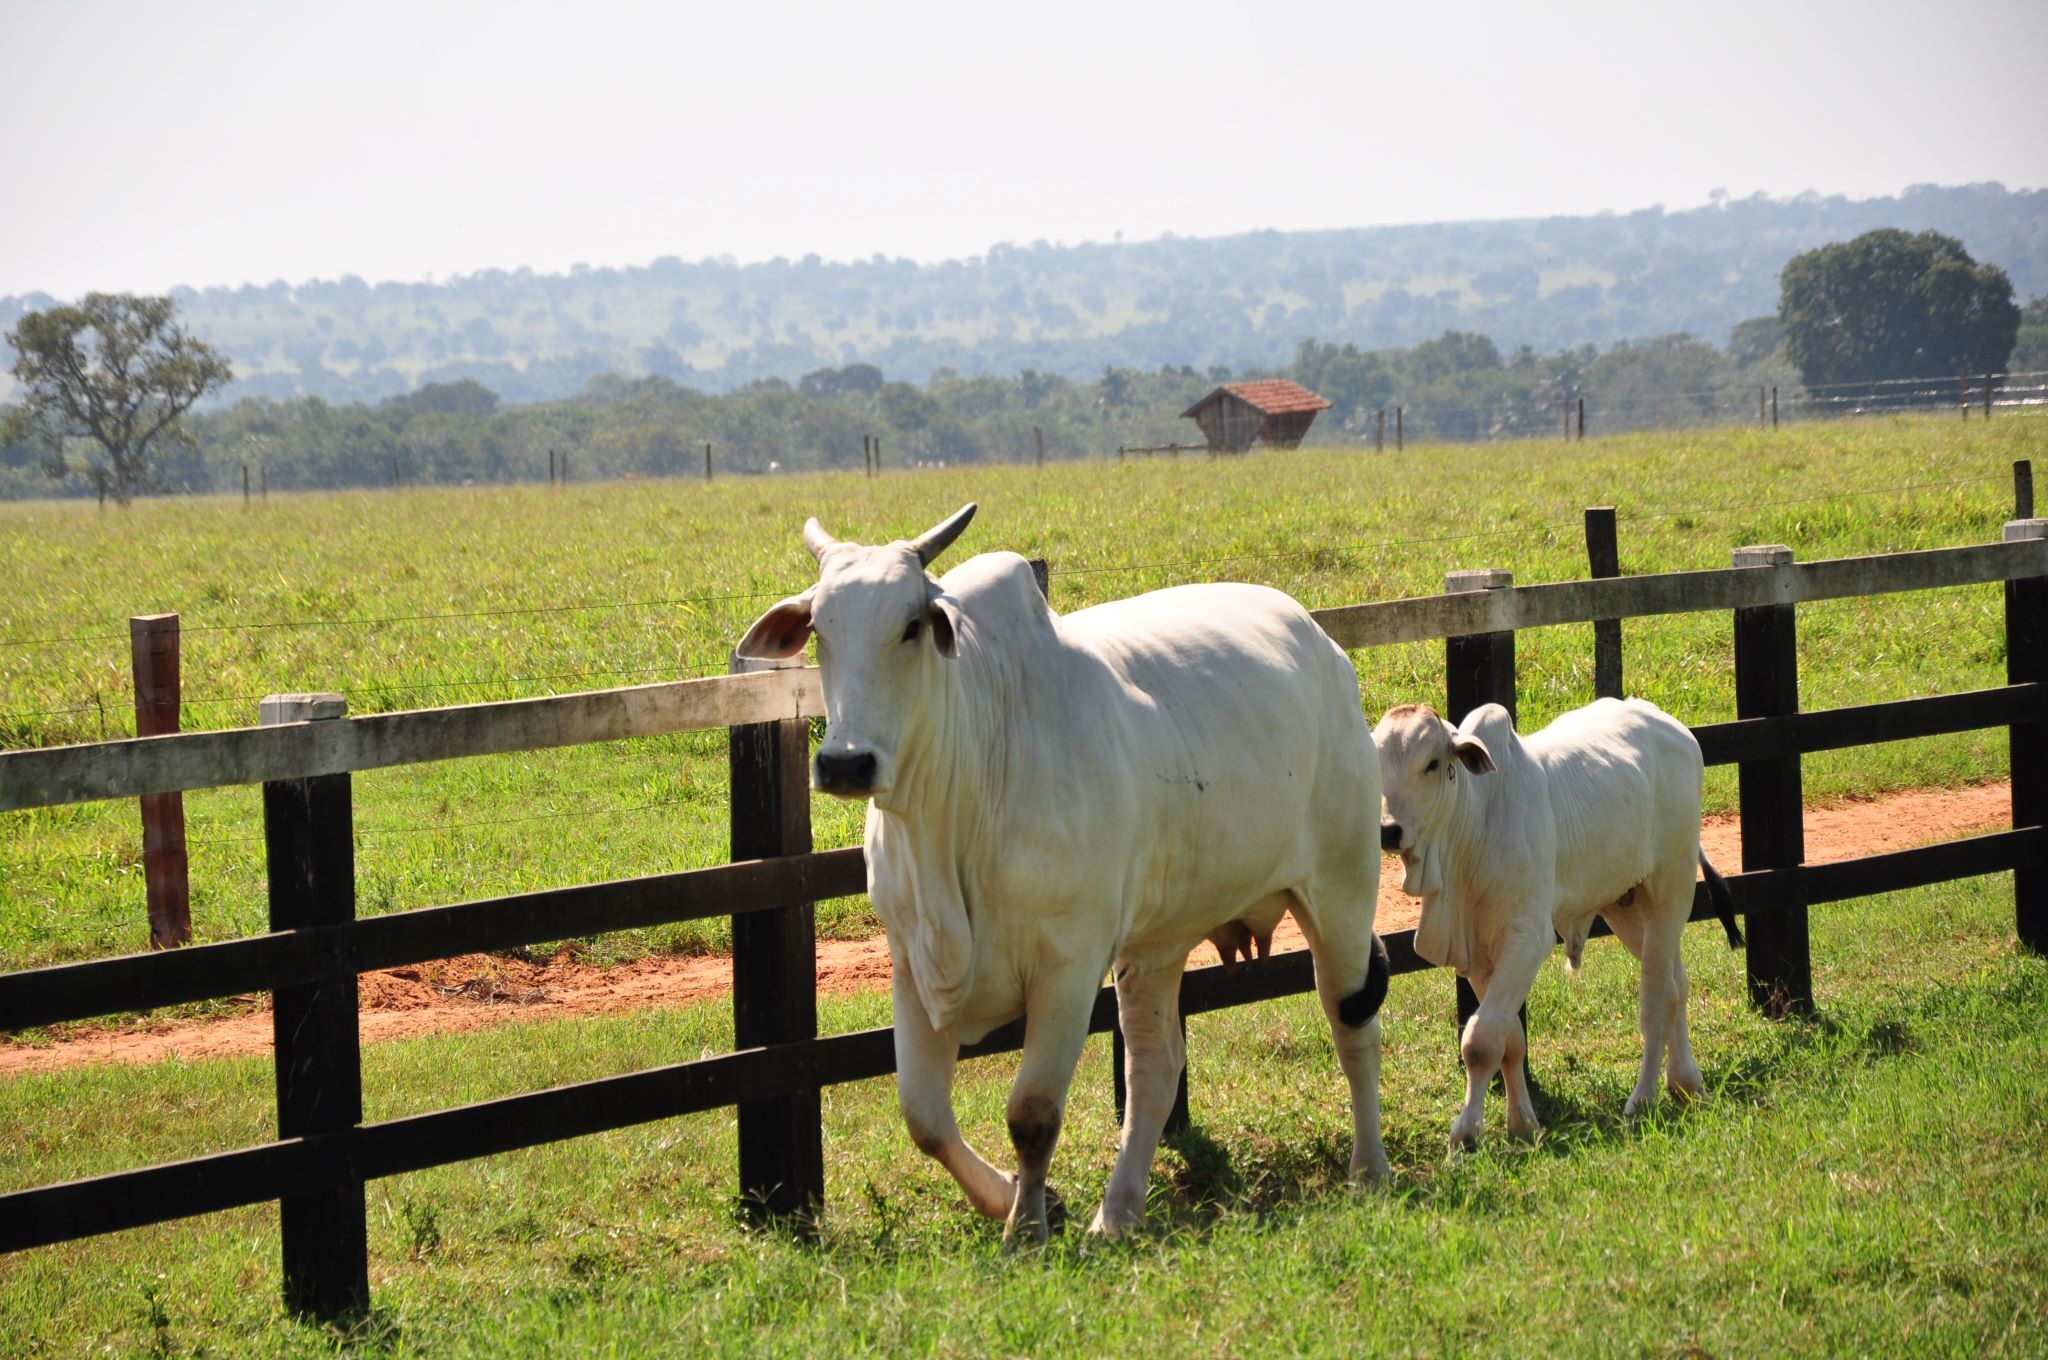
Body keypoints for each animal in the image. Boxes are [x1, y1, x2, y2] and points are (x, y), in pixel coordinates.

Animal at [737, 507, 1392, 1245]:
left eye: (909, 626)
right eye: (821, 630)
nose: (846, 763)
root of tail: (1322, 643)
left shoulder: (1068, 966)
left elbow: (1033, 1112)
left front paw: (1025, 1230)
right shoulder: (911, 961)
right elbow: (925, 1118)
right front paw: (1017, 1201)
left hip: (1341, 890)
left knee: (1353, 1026)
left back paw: (1370, 1170)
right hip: (1157, 944)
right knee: (1155, 1068)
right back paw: (1118, 1211)